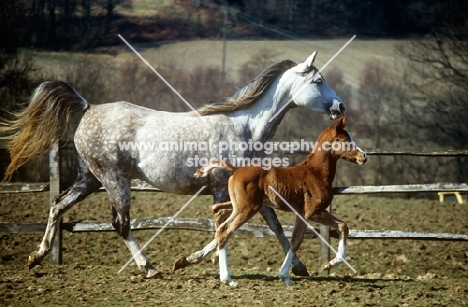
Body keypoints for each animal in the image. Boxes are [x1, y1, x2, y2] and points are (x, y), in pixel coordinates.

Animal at [194, 116, 366, 288]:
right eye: (344, 140)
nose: (364, 157)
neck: (316, 173)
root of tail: (236, 170)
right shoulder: (312, 212)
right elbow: (338, 228)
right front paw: (321, 266)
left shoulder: (301, 214)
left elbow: (300, 239)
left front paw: (292, 275)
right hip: (248, 208)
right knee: (225, 230)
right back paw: (227, 279)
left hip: (240, 205)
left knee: (218, 211)